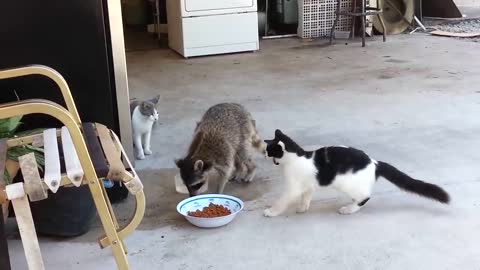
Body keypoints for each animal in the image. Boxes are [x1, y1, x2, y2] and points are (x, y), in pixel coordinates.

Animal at [262, 129, 450, 217]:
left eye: (269, 150)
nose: (263, 153)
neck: (296, 157)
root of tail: (374, 162)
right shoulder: (308, 185)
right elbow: (306, 196)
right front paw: (302, 208)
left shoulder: (292, 188)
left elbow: (282, 201)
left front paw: (271, 212)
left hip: (349, 185)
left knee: (365, 197)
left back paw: (349, 209)